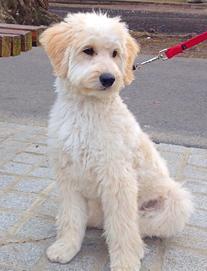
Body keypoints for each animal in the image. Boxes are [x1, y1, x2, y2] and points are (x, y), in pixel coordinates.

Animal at [40, 12, 192, 271]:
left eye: (115, 53)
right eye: (88, 50)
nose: (109, 78)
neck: (87, 112)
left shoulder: (118, 179)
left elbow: (122, 227)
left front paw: (126, 262)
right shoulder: (68, 176)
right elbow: (71, 217)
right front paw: (66, 247)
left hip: (174, 203)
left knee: (137, 225)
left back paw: (138, 246)